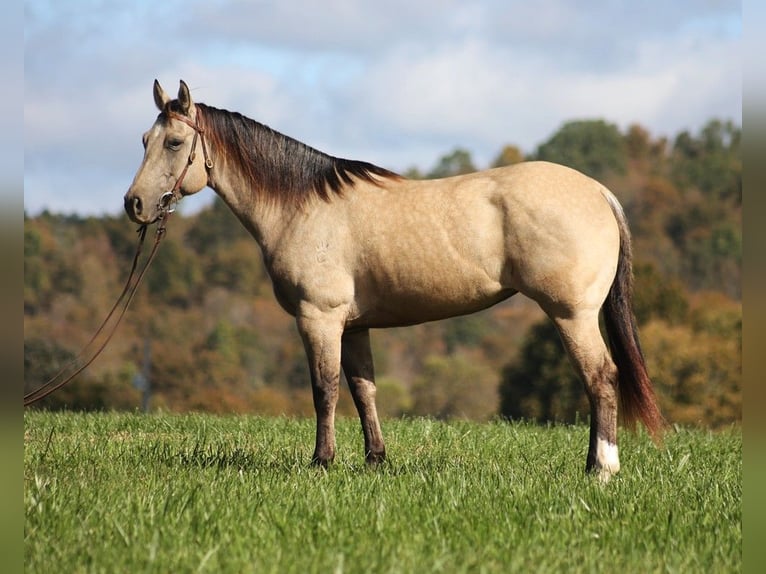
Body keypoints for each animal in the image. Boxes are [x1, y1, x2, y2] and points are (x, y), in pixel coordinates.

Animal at [125, 79, 664, 481]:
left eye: (175, 143)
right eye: (144, 141)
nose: (135, 204)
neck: (301, 206)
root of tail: (597, 191)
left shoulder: (318, 319)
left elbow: (324, 388)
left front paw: (321, 462)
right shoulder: (354, 326)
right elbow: (364, 390)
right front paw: (375, 461)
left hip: (572, 315)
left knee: (602, 378)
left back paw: (601, 469)